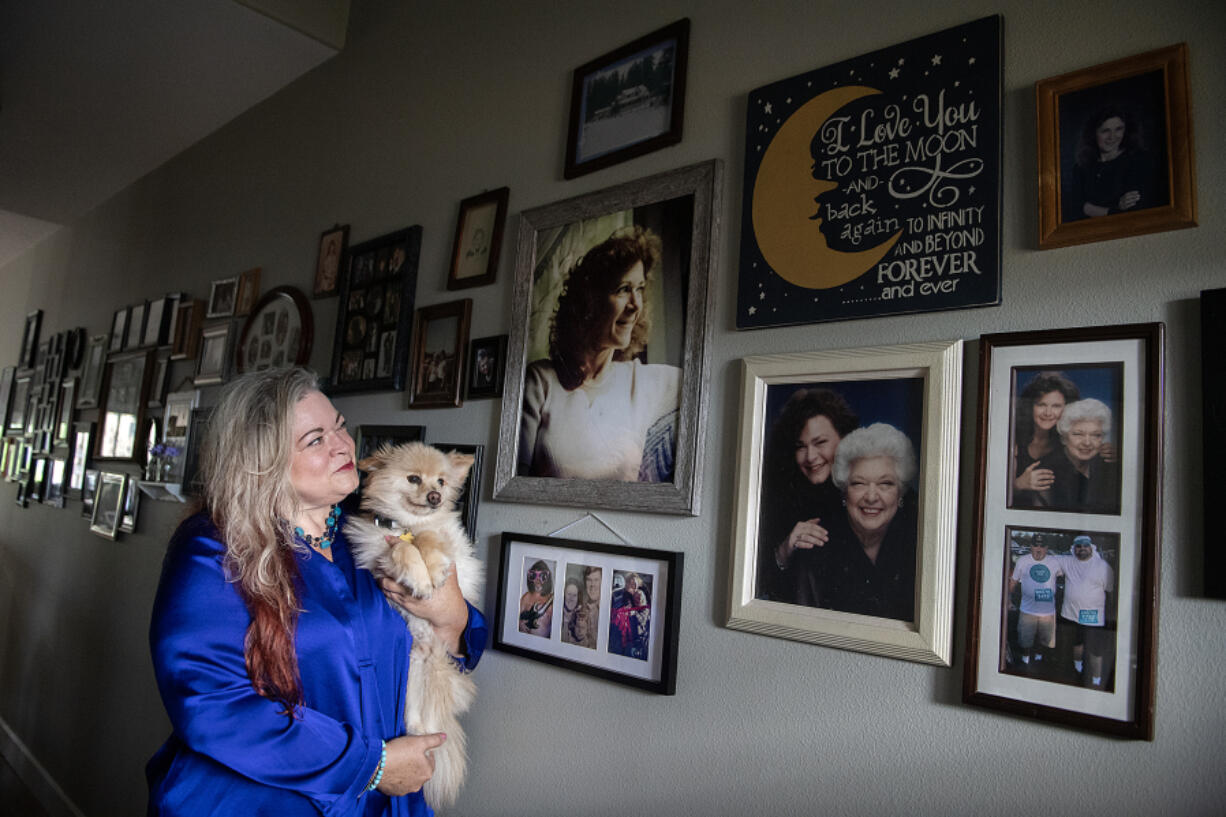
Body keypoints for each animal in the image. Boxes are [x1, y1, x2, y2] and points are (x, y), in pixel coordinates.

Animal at [345, 439, 483, 799]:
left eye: (442, 483)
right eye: (413, 479)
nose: (435, 497)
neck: (406, 525)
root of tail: (430, 652)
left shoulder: (449, 544)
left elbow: (429, 538)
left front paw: (432, 571)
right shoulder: (378, 555)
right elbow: (400, 550)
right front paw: (418, 576)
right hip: (411, 679)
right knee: (418, 716)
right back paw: (417, 736)